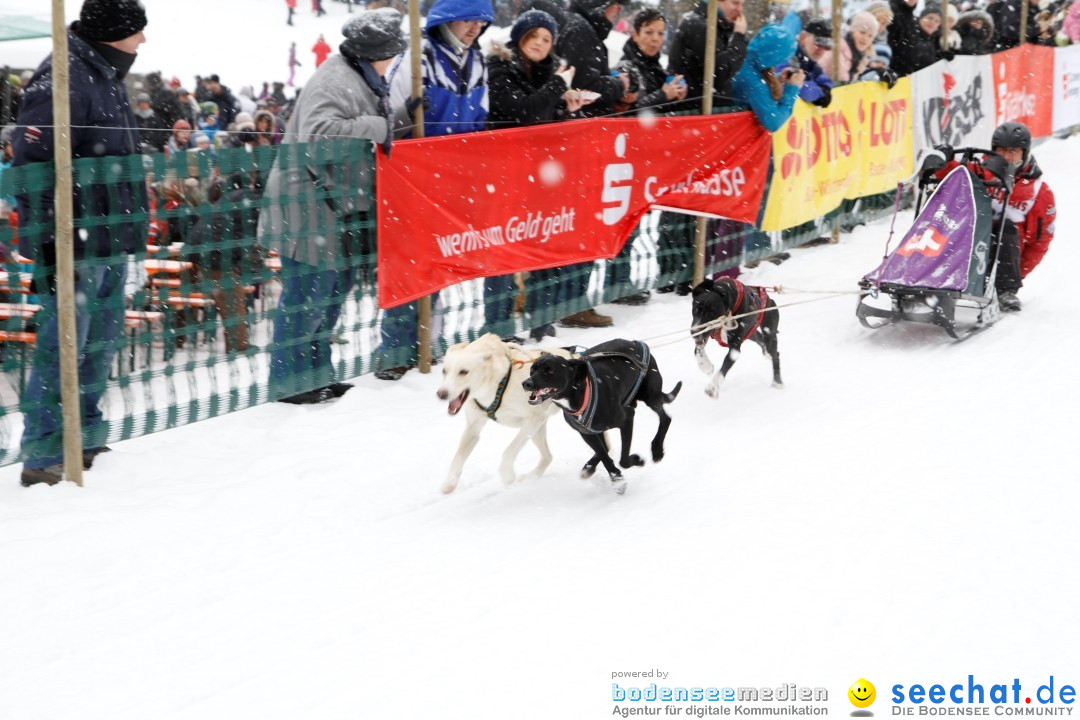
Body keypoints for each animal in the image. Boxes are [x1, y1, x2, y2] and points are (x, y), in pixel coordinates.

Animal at [436, 334, 578, 492]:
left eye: (463, 372)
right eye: (444, 371)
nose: (441, 394)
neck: (496, 385)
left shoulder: (532, 420)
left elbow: (509, 450)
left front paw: (507, 475)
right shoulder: (473, 428)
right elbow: (458, 456)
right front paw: (450, 482)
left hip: (538, 427)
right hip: (538, 431)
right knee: (548, 457)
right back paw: (531, 476)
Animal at [518, 341, 678, 492]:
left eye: (550, 370)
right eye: (532, 370)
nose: (526, 383)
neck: (580, 393)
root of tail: (635, 342)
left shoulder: (627, 418)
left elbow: (623, 460)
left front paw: (634, 463)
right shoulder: (587, 433)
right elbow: (603, 454)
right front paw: (616, 479)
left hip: (650, 396)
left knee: (666, 418)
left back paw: (657, 450)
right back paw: (590, 467)